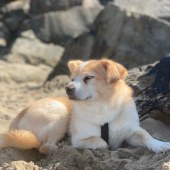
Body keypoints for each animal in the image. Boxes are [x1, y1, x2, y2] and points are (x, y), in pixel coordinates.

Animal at [0, 58, 169, 154]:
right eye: (72, 79)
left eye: (88, 78)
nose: (68, 88)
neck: (103, 106)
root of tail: (16, 119)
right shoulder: (80, 138)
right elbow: (96, 140)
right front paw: (100, 144)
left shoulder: (131, 130)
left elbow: (146, 135)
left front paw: (160, 145)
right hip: (60, 114)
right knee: (44, 147)